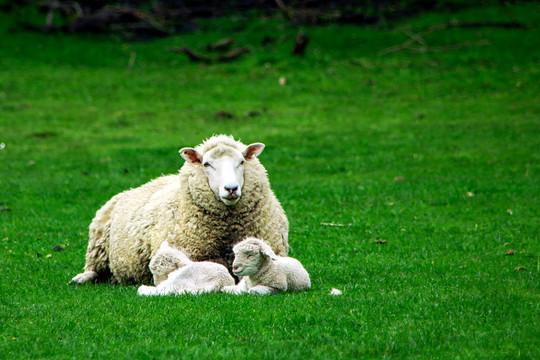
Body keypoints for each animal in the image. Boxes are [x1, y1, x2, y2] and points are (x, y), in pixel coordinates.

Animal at [69, 134, 288, 286]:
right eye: (206, 164)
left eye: (241, 162)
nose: (231, 189)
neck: (227, 231)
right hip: (98, 241)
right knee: (95, 268)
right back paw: (81, 278)